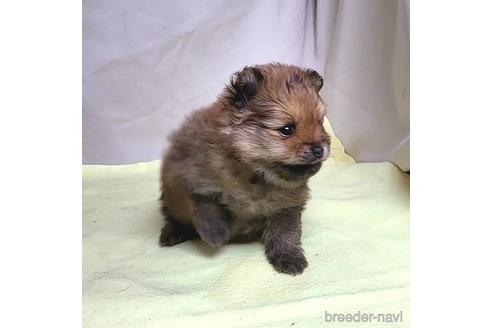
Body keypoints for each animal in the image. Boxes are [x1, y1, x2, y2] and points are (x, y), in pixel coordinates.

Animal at [160, 62, 332, 276]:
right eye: (287, 129)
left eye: (320, 123)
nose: (318, 148)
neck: (256, 175)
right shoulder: (195, 179)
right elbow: (206, 206)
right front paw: (215, 233)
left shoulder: (287, 205)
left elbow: (285, 232)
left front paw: (288, 256)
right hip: (171, 197)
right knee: (174, 215)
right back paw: (173, 232)